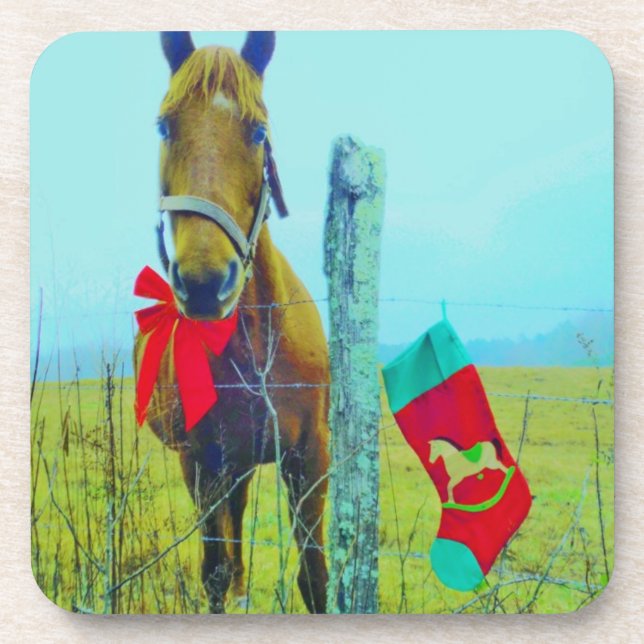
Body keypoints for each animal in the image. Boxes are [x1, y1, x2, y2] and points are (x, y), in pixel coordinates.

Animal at [134, 31, 330, 613]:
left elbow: (314, 577)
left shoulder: (311, 456)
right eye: (165, 126)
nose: (204, 283)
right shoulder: (202, 462)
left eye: (258, 130)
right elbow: (216, 573)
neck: (257, 345)